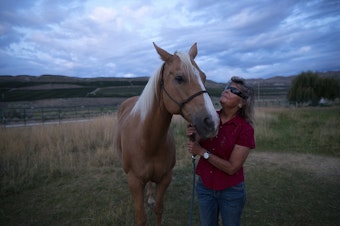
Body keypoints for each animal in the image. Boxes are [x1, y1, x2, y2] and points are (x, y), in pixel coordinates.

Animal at [114, 42, 219, 226]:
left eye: (204, 77)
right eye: (179, 78)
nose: (212, 122)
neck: (148, 140)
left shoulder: (165, 178)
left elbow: (159, 209)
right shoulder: (134, 181)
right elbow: (140, 218)